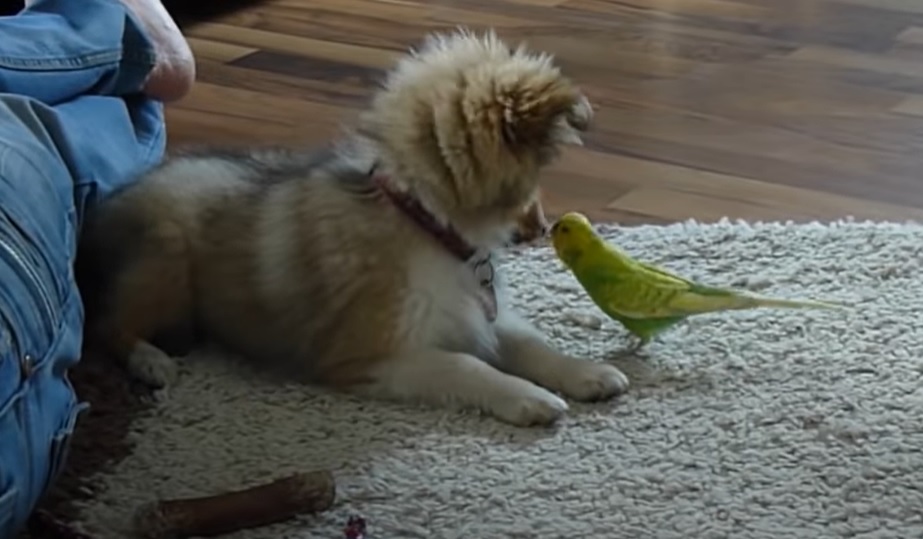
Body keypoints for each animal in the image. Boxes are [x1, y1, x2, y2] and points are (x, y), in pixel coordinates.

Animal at [76, 28, 632, 426]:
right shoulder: (365, 357)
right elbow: (466, 364)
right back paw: (151, 362)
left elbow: (530, 343)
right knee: (106, 324)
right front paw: (529, 398)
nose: (544, 227)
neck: (423, 222)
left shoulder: (479, 314)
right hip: (163, 257)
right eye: (532, 178)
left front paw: (586, 373)